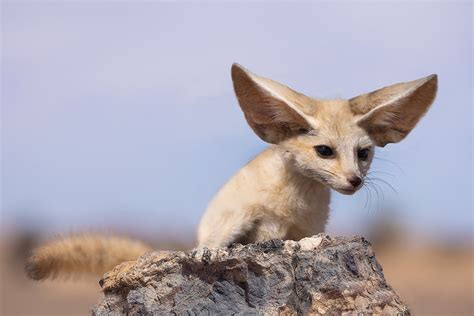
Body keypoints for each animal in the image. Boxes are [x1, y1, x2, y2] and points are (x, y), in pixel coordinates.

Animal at [25, 63, 436, 280]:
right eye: (325, 151)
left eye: (364, 154)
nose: (355, 181)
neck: (294, 202)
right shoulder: (242, 216)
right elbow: (219, 243)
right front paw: (210, 256)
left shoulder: (308, 229)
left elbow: (301, 240)